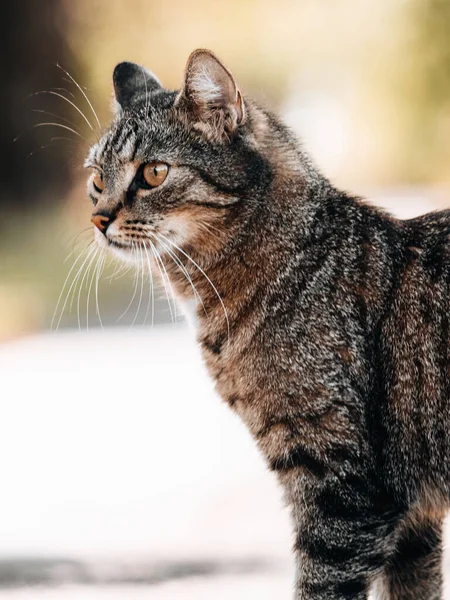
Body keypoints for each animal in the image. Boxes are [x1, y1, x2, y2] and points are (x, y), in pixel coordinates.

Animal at [85, 49, 450, 596]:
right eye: (96, 180)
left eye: (153, 173)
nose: (99, 218)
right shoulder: (412, 525)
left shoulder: (345, 493)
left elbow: (318, 583)